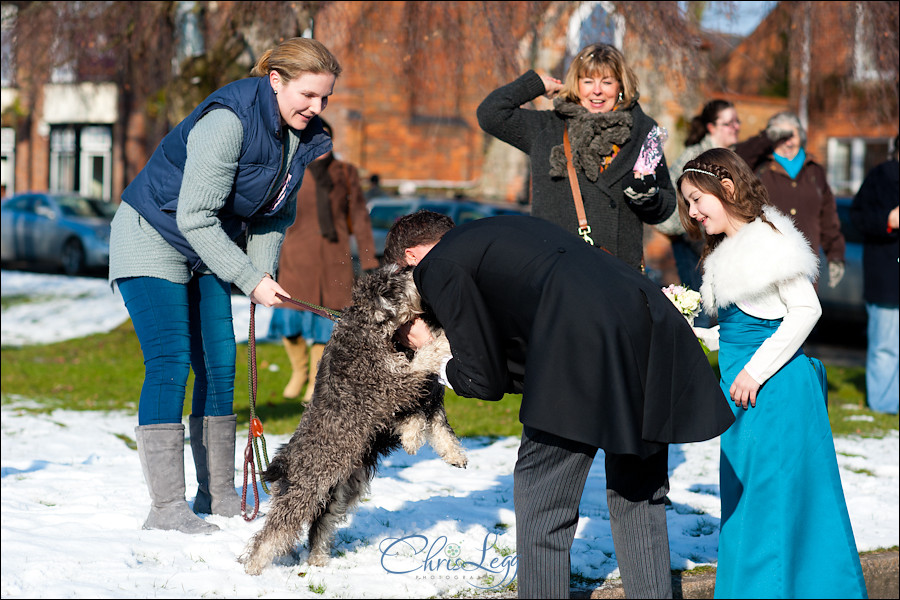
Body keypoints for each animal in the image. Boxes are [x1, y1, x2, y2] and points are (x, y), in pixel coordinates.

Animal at [239, 264, 468, 576]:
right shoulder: (392, 385)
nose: (415, 270)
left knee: (319, 526)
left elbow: (438, 427)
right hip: (306, 491)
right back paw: (254, 566)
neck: (367, 327)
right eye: (395, 284)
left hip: (339, 492)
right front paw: (441, 339)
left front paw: (453, 454)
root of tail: (283, 460)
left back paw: (318, 559)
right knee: (274, 531)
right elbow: (423, 360)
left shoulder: (420, 400)